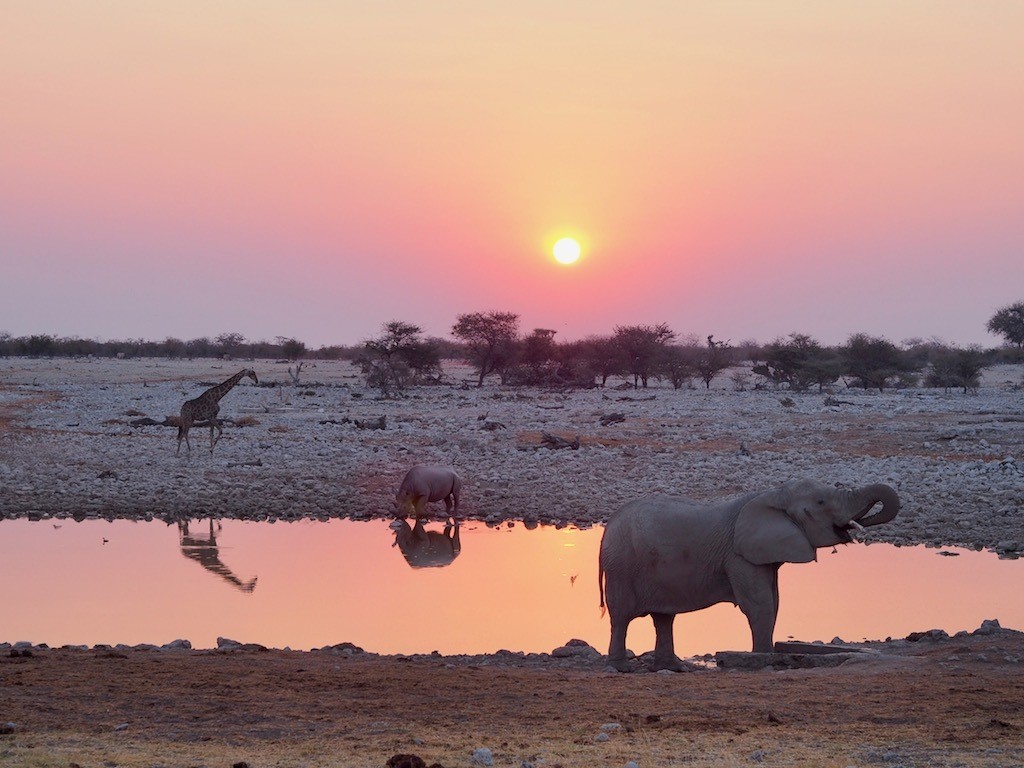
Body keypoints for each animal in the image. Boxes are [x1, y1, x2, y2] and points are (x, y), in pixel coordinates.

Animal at [598, 481, 901, 671]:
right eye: (821, 502)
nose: (853, 529)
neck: (774, 494)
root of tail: (608, 528)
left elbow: (774, 602)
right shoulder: (739, 556)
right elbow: (760, 604)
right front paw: (763, 658)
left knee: (664, 617)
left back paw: (674, 668)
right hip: (621, 566)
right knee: (622, 615)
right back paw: (622, 668)